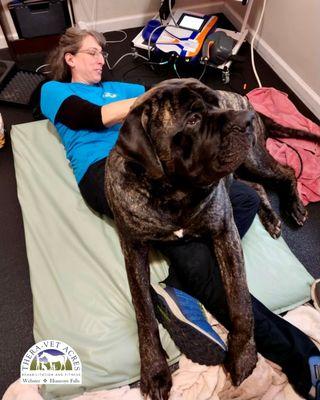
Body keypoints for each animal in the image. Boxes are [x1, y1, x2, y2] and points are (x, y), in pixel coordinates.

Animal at [105, 79, 320, 400]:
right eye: (193, 119)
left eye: (216, 103)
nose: (244, 122)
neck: (175, 192)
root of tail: (246, 101)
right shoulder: (133, 248)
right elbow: (143, 311)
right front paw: (154, 369)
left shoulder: (224, 230)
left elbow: (240, 299)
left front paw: (243, 355)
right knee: (256, 186)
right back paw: (270, 216)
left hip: (253, 159)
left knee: (285, 171)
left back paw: (292, 207)